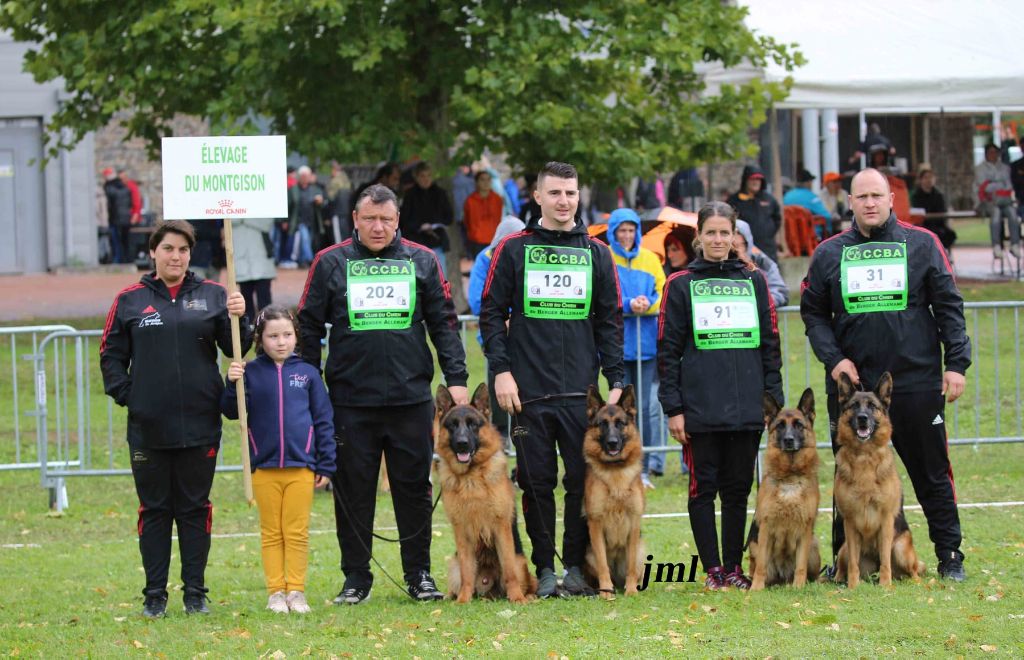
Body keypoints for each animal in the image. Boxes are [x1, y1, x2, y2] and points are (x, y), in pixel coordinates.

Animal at [432, 380, 536, 601]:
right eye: (452, 425)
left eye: (473, 424)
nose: (462, 444)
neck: (471, 478)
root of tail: (490, 590)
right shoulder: (461, 531)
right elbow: (467, 571)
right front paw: (463, 601)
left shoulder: (501, 527)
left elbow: (509, 570)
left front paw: (517, 599)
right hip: (453, 566)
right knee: (461, 578)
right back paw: (452, 596)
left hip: (520, 562)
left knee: (527, 580)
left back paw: (528, 596)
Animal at [581, 386, 643, 597]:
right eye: (602, 424)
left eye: (620, 423)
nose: (613, 443)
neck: (616, 470)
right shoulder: (596, 523)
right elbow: (602, 565)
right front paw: (606, 591)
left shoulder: (634, 522)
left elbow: (631, 565)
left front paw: (631, 590)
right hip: (589, 554)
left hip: (642, 550)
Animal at [753, 382, 823, 589]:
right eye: (780, 426)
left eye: (799, 425)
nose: (789, 440)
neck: (790, 476)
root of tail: (782, 578)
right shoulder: (765, 528)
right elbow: (761, 566)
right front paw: (755, 588)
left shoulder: (805, 530)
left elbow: (800, 566)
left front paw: (798, 587)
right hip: (754, 546)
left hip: (814, 544)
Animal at [831, 370, 929, 585]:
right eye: (854, 406)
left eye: (872, 406)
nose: (862, 418)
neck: (864, 457)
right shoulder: (850, 522)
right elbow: (853, 564)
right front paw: (853, 586)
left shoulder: (885, 521)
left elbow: (885, 559)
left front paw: (885, 586)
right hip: (843, 550)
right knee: (842, 566)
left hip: (901, 549)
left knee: (913, 570)